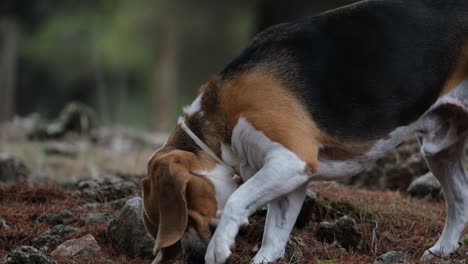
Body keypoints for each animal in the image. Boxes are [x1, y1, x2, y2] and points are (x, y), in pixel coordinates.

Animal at [143, 1, 468, 262]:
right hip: (440, 150)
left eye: (185, 215)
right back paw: (441, 250)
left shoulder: (291, 160)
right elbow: (272, 241)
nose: (191, 256)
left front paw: (218, 248)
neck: (220, 116)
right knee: (460, 199)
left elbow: (237, 198)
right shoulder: (291, 180)